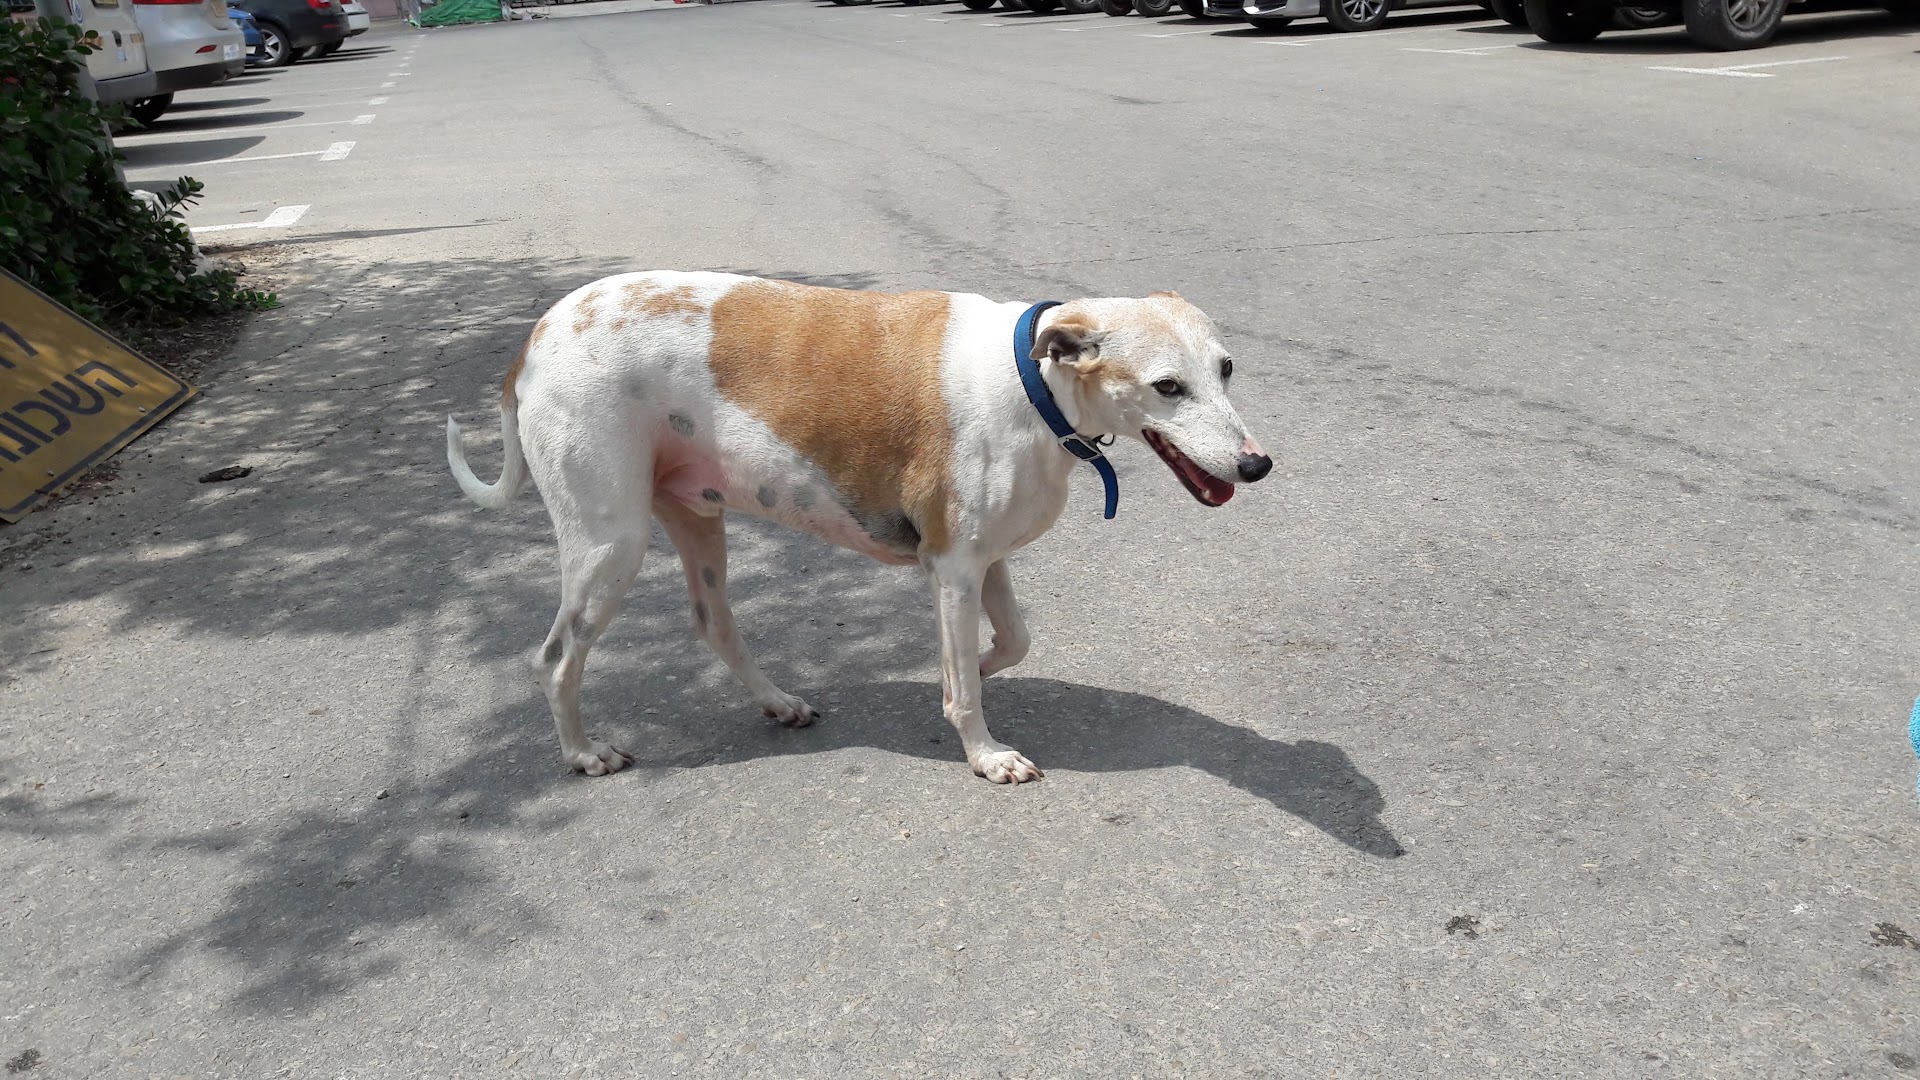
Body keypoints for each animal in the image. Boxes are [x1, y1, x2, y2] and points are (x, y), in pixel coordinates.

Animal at [447, 273, 1270, 784]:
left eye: (1226, 368)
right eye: (1168, 386)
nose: (1257, 464)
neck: (1033, 384)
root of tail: (538, 335)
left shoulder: (980, 561)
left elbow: (1009, 644)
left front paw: (963, 674)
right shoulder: (954, 569)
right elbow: (969, 687)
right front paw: (984, 752)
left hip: (696, 518)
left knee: (715, 625)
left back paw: (778, 701)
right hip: (609, 545)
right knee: (555, 658)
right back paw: (583, 754)